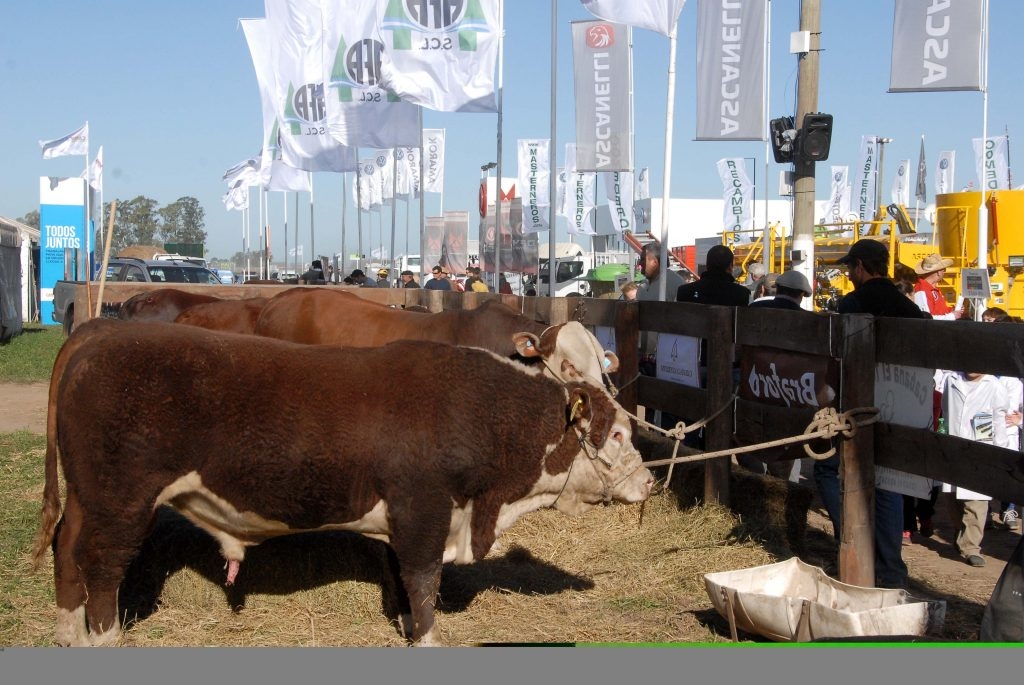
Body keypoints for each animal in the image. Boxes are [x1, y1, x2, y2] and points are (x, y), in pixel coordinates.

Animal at [34, 317, 655, 643]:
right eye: (616, 434)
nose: (649, 484)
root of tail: (101, 330)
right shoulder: (424, 511)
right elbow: (423, 582)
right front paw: (428, 637)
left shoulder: (407, 520)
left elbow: (402, 581)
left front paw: (406, 624)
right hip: (121, 503)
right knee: (102, 569)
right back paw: (104, 637)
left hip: (89, 499)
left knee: (67, 550)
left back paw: (67, 634)